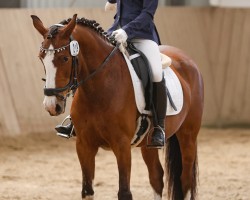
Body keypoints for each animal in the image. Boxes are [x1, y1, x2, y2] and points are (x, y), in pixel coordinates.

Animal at [30, 14, 203, 200]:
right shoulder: (84, 145)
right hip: (147, 144)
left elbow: (124, 191)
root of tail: (188, 60)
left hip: (188, 136)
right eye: (41, 58)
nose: (51, 106)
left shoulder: (122, 145)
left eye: (65, 58)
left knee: (185, 179)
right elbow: (87, 190)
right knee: (156, 176)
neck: (98, 89)